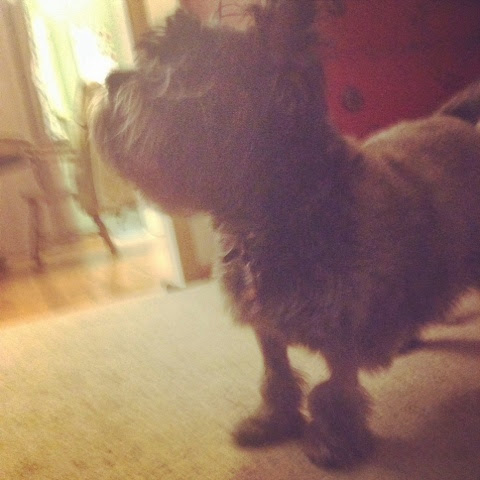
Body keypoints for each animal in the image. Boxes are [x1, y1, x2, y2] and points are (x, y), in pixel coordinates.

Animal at [93, 0, 480, 468]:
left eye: (187, 68)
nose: (111, 81)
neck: (268, 217)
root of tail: (458, 122)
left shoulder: (338, 332)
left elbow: (334, 390)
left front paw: (335, 440)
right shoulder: (267, 325)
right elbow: (275, 375)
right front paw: (272, 421)